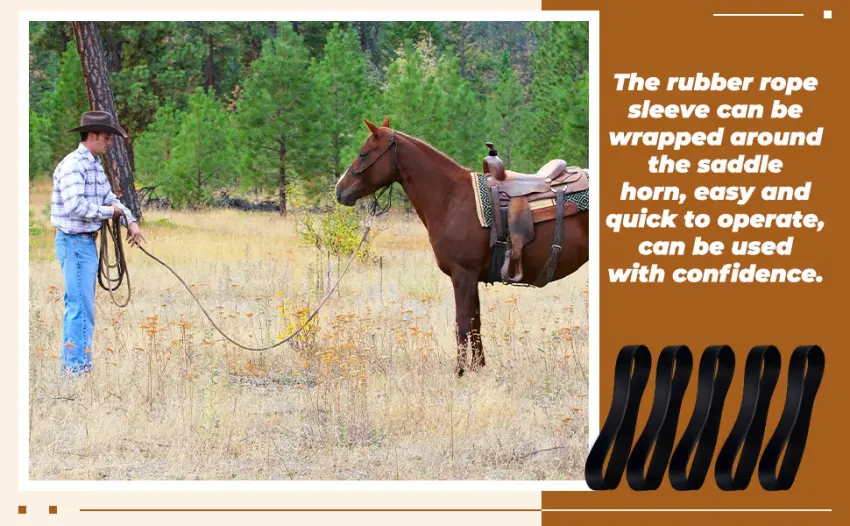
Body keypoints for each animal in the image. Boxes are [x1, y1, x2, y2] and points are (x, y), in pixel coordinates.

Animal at [335, 117, 589, 377]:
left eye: (363, 153)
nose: (339, 189)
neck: (451, 198)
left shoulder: (462, 274)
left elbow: (462, 323)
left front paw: (459, 371)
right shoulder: (472, 277)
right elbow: (475, 322)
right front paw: (477, 367)